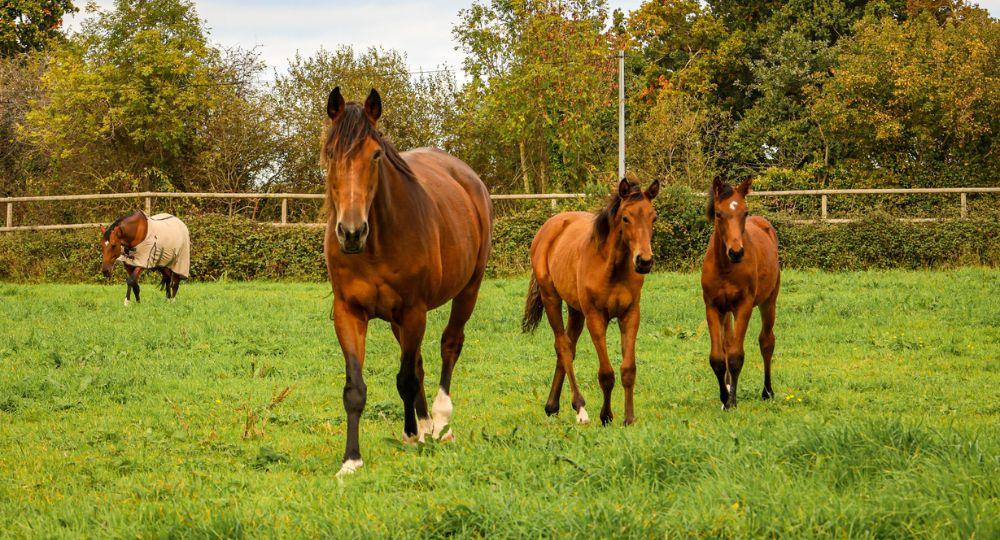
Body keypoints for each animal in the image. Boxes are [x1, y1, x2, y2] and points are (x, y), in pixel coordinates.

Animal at [322, 88, 492, 477]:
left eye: (375, 155)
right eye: (330, 153)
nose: (351, 232)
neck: (375, 245)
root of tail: (467, 176)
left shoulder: (414, 311)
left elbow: (406, 378)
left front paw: (414, 436)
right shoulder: (349, 313)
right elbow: (356, 388)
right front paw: (351, 460)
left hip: (468, 290)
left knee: (449, 346)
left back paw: (440, 423)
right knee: (418, 363)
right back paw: (426, 425)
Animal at [522, 178, 660, 426]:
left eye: (653, 217)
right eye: (626, 218)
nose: (644, 261)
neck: (612, 267)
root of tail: (550, 227)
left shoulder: (630, 315)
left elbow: (628, 369)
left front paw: (629, 418)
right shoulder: (596, 317)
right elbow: (606, 373)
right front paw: (606, 416)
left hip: (576, 310)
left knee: (568, 347)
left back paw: (552, 405)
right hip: (551, 299)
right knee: (563, 347)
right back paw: (580, 408)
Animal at [701, 178, 780, 410]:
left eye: (745, 212)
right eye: (718, 213)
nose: (736, 252)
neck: (725, 267)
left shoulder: (744, 306)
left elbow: (736, 356)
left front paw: (732, 401)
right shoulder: (713, 306)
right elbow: (718, 357)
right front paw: (724, 397)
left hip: (768, 302)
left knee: (767, 341)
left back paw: (767, 391)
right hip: (727, 311)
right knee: (727, 343)